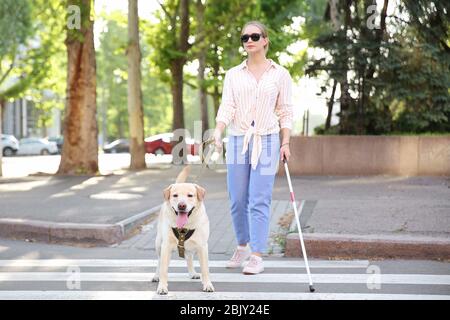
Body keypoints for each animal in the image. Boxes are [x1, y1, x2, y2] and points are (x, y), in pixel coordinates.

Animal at [152, 166, 214, 294]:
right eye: (175, 195)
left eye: (190, 195)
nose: (181, 205)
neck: (184, 227)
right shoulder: (166, 246)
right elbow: (163, 269)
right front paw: (162, 287)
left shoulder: (202, 246)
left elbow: (205, 269)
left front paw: (207, 284)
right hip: (158, 244)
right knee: (159, 261)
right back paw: (156, 276)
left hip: (191, 247)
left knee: (189, 258)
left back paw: (192, 273)